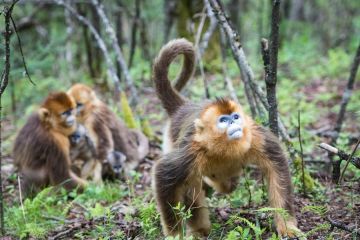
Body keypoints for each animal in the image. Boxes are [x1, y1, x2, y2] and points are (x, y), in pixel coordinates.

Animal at [150, 38, 300, 237]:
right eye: (223, 120)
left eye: (235, 117)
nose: (234, 124)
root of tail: (183, 108)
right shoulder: (192, 150)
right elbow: (163, 174)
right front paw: (175, 236)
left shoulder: (255, 137)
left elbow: (277, 167)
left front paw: (287, 226)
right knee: (192, 184)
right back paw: (200, 228)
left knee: (226, 184)